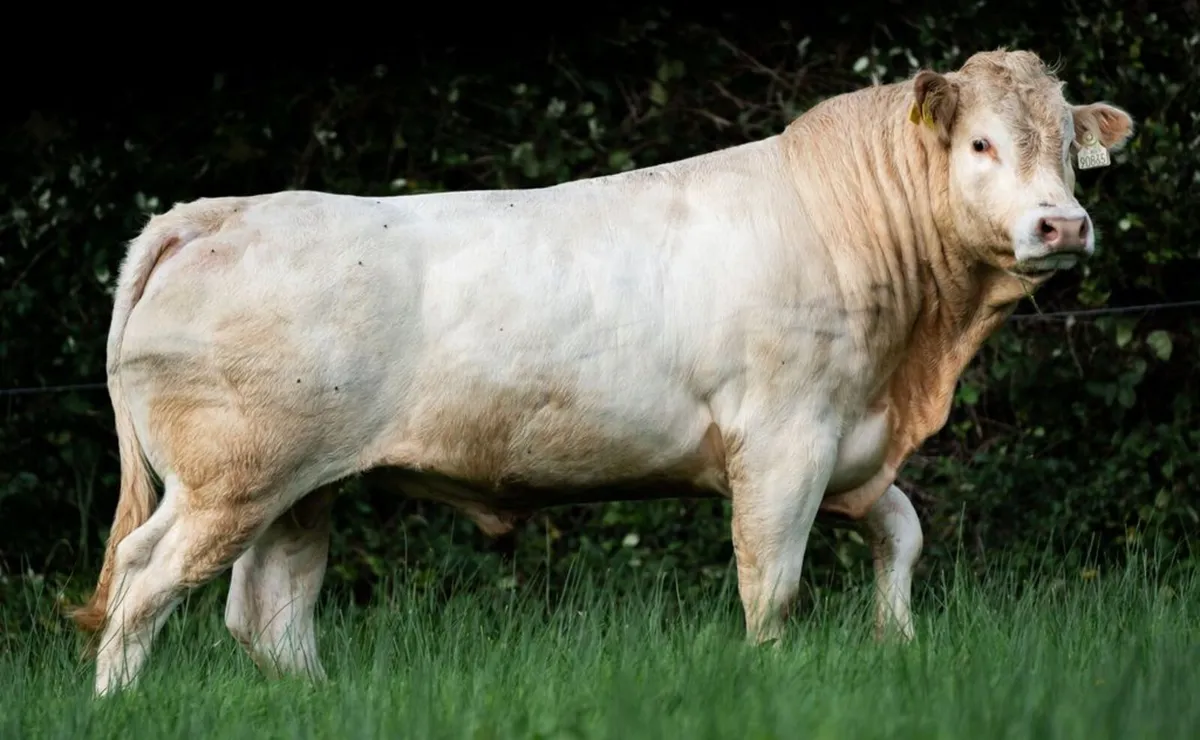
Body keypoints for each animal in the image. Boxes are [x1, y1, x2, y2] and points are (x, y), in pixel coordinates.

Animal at [68, 48, 1133, 696]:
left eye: (1067, 150)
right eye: (981, 143)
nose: (1062, 226)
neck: (913, 358)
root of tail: (218, 209)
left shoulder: (853, 447)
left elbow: (903, 531)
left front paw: (896, 644)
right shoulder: (786, 439)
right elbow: (772, 586)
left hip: (294, 489)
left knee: (268, 615)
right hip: (229, 480)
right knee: (143, 581)